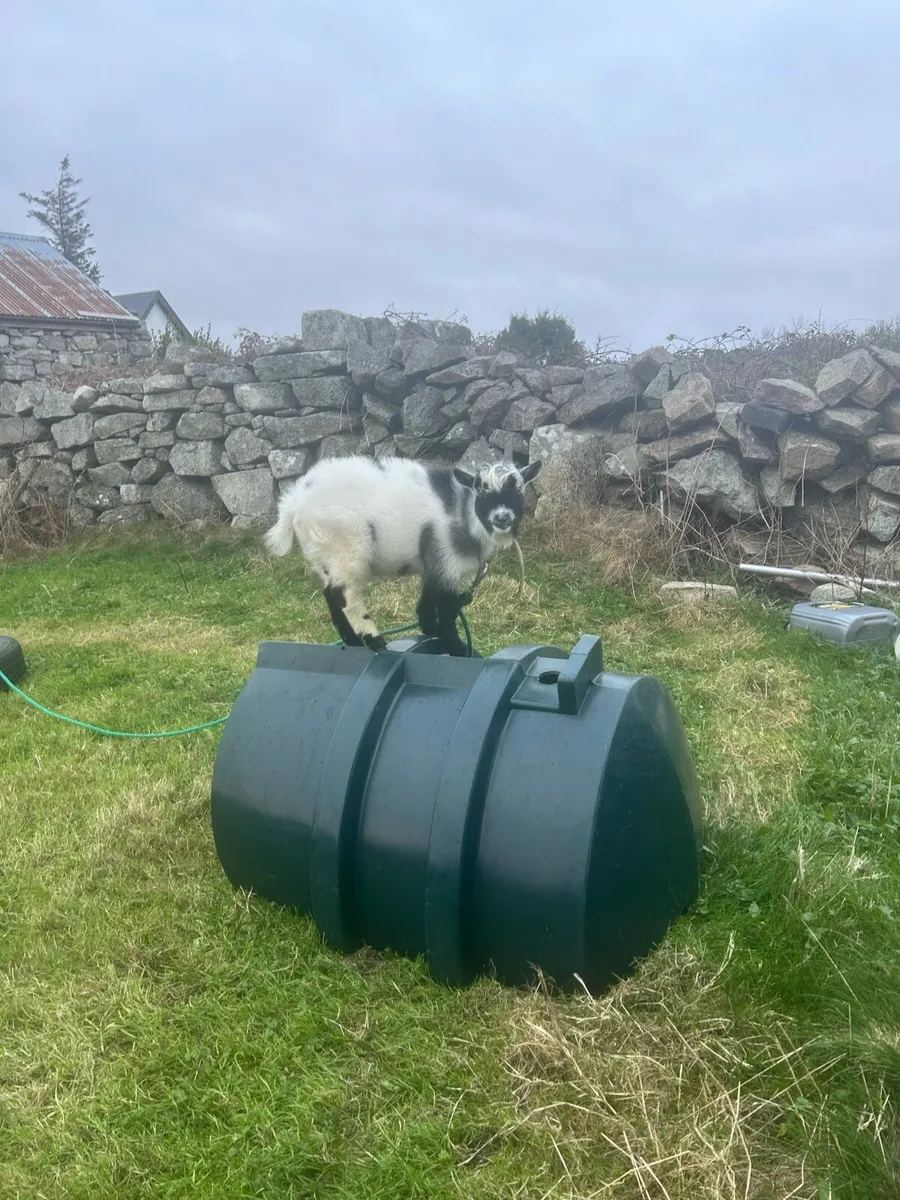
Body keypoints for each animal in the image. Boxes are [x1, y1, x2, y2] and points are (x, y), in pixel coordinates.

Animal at [263, 454, 542, 655]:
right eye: (481, 490)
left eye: (519, 490)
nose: (502, 517)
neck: (463, 513)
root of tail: (293, 504)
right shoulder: (446, 560)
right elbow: (448, 606)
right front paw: (456, 646)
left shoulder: (435, 564)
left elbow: (429, 601)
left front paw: (430, 629)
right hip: (346, 546)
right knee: (344, 594)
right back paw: (373, 638)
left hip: (322, 554)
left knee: (329, 594)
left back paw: (352, 641)